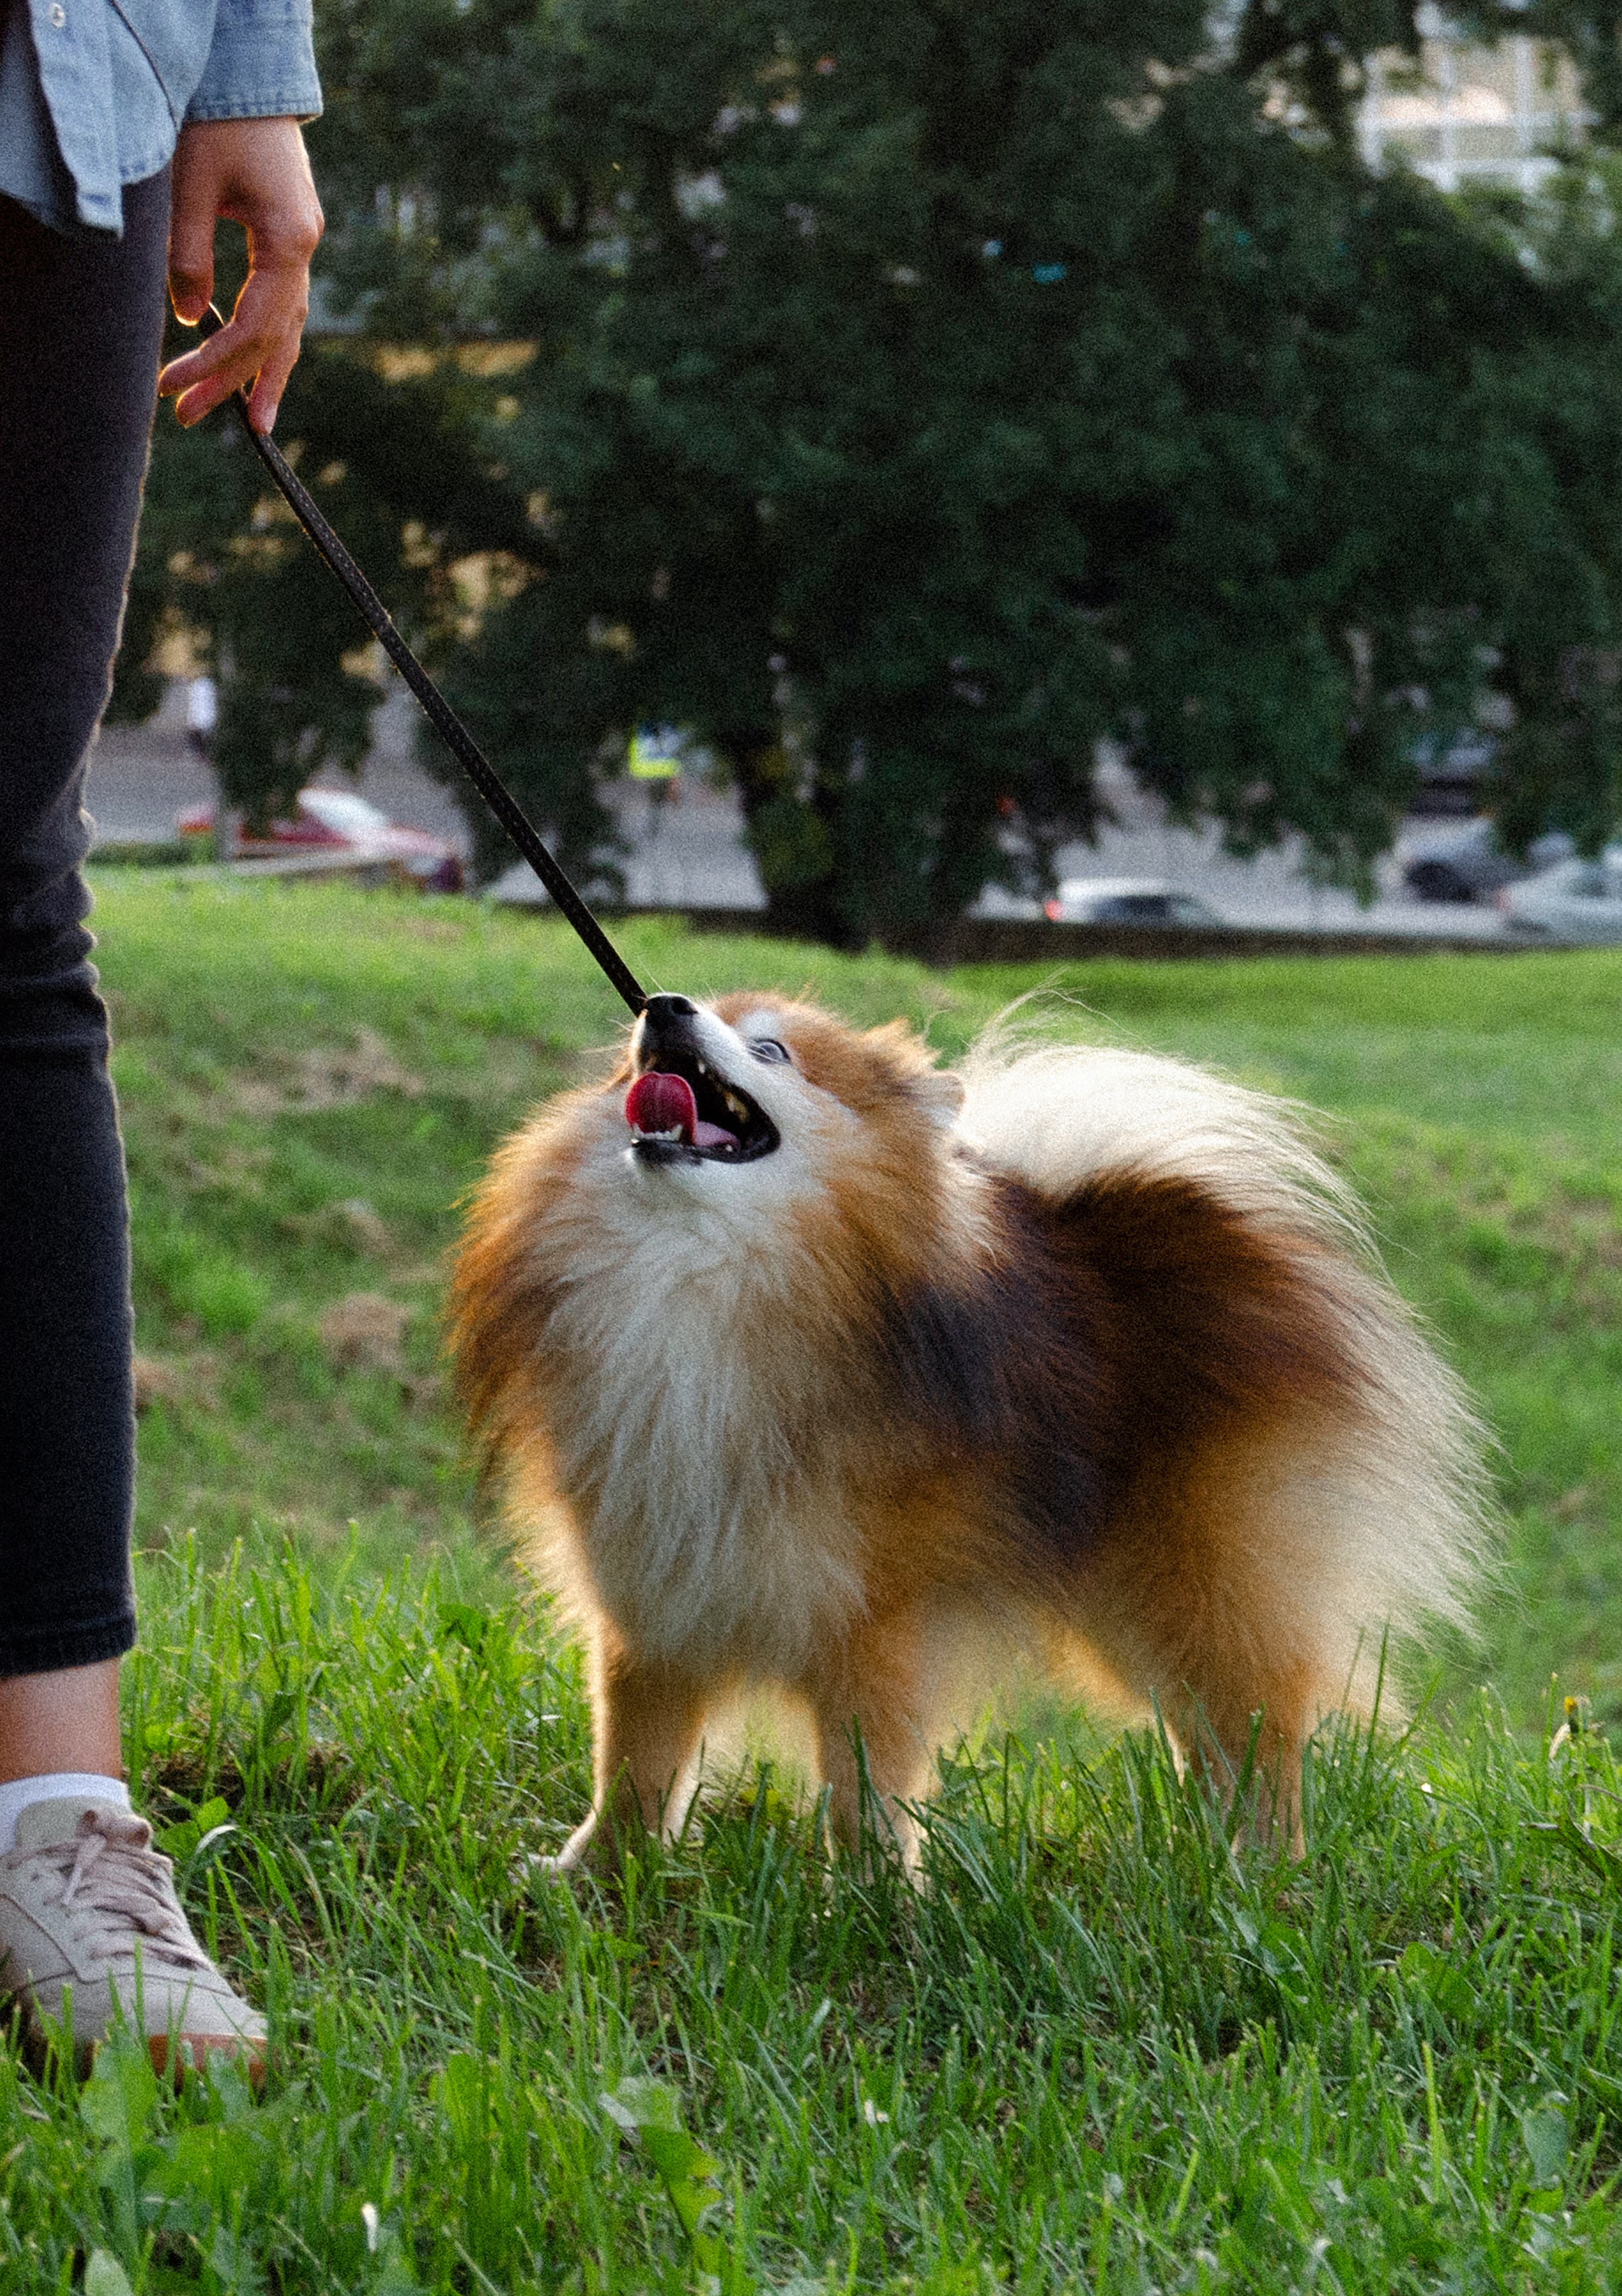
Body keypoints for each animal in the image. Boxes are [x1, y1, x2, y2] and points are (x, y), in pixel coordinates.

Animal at [453, 982, 1480, 1864]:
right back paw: (1203, 1857)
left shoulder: (870, 1623)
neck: (695, 1282)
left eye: (772, 1049)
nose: (661, 1005)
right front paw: (597, 1872)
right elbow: (633, 1761)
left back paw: (1263, 1872)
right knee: (1208, 1735)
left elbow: (862, 1783)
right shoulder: (653, 1597)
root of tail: (1207, 1225)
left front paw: (869, 1898)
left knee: (1258, 1730)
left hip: (1200, 1574)